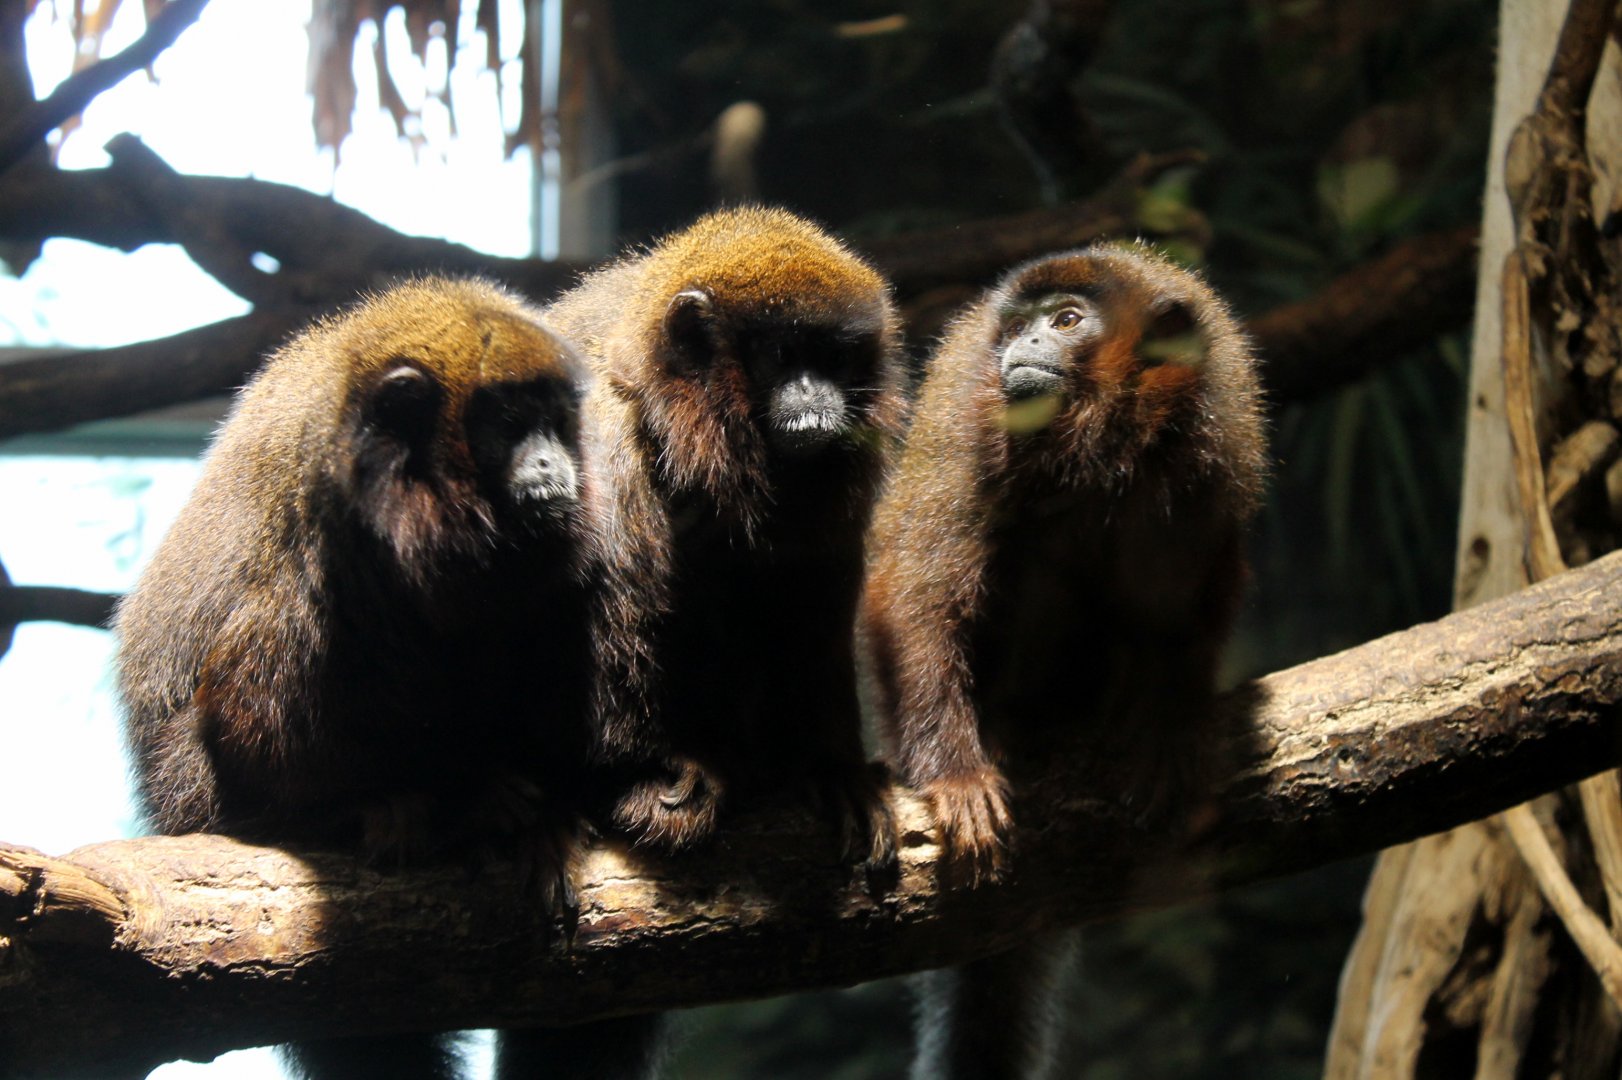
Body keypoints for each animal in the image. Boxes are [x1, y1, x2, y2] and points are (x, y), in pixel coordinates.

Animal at [114, 277, 595, 1080]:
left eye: (556, 424)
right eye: (508, 424)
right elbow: (247, 716)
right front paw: (437, 799)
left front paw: (534, 813)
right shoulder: (328, 537)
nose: (552, 464)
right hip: (195, 792)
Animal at [493, 207, 909, 1080]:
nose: (819, 398)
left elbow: (811, 602)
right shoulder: (602, 436)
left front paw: (834, 769)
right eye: (783, 356)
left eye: (833, 359)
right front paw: (648, 781)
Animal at [860, 244, 1266, 1078]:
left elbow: (1195, 599)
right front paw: (954, 774)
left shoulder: (1214, 438)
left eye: (1068, 321)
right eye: (1018, 324)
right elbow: (912, 586)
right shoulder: (966, 412)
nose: (1023, 343)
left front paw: (1168, 731)